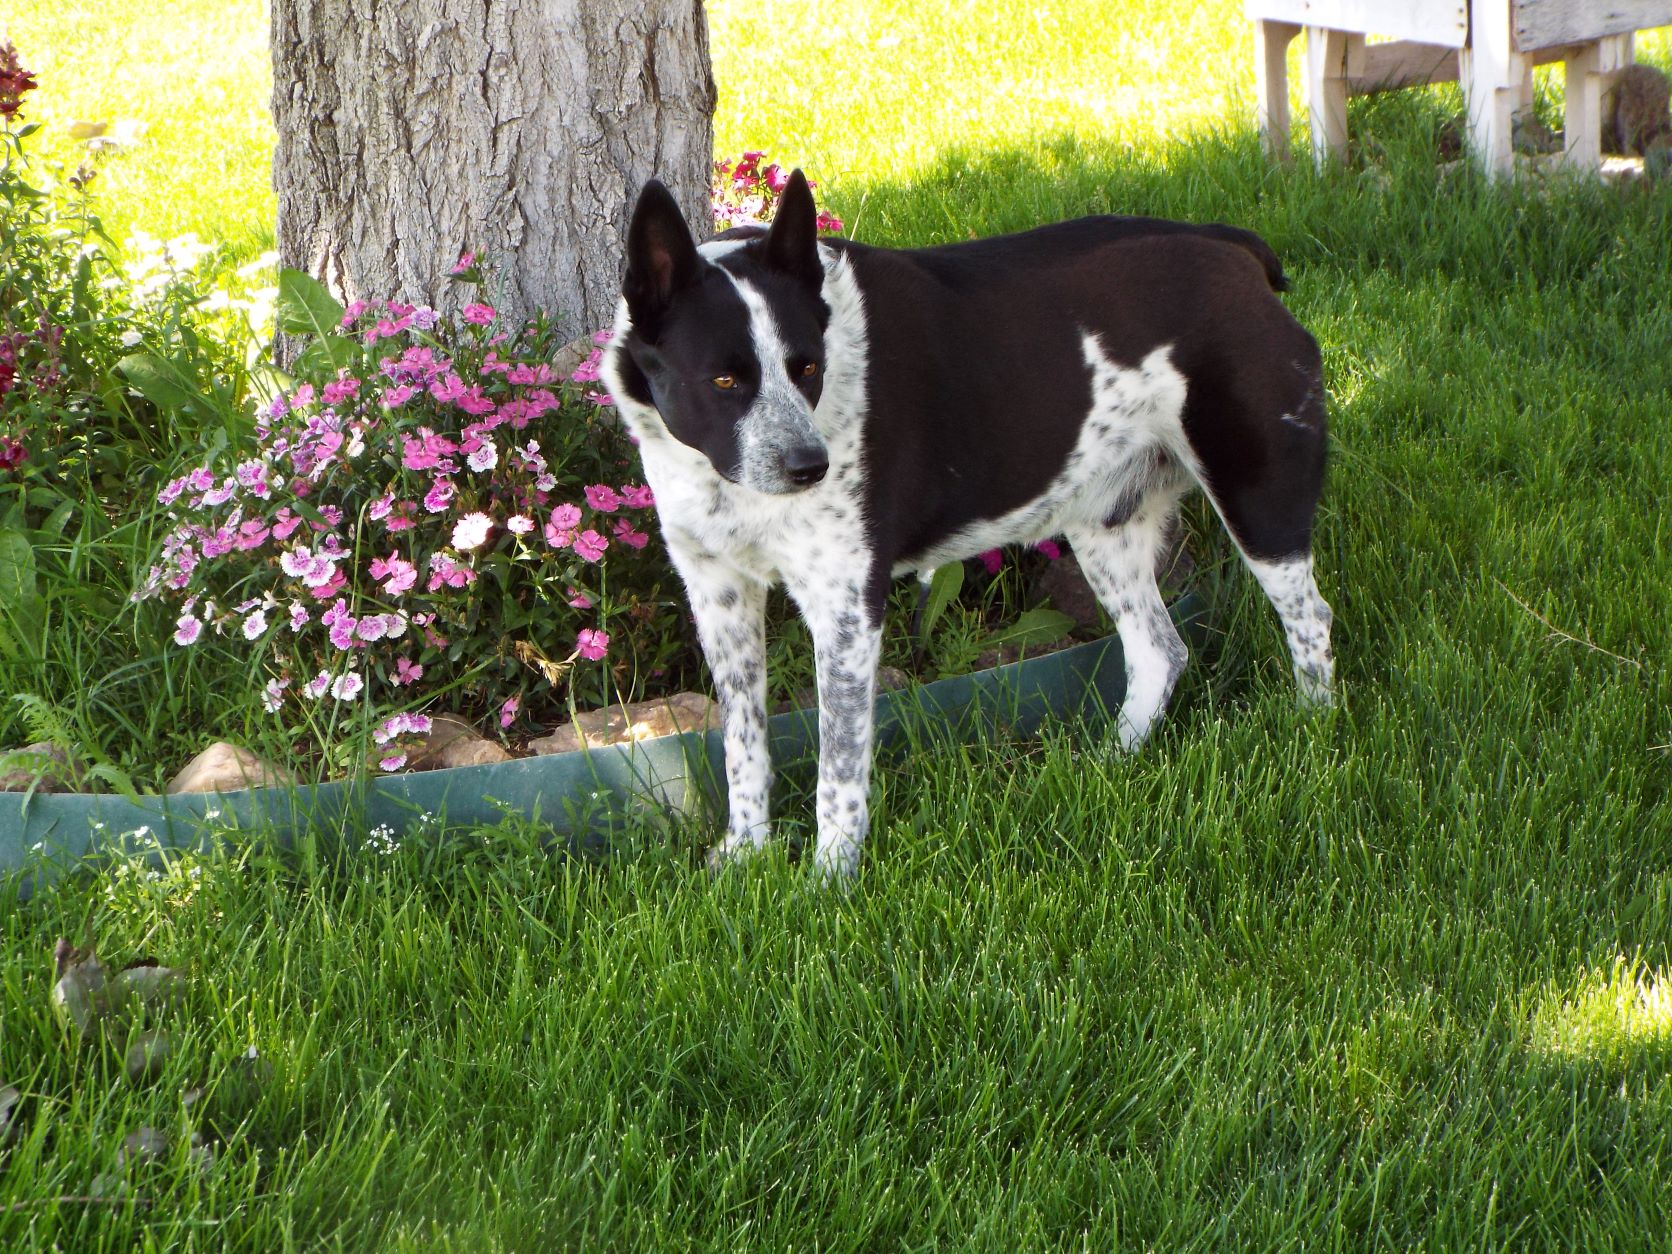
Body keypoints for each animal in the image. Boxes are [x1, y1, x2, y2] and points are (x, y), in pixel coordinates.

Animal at [601, 171, 1333, 879]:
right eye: (723, 380)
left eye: (807, 366)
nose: (812, 467)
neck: (720, 478)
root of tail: (1230, 246)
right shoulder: (718, 594)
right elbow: (743, 742)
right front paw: (745, 851)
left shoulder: (845, 605)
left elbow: (839, 765)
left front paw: (830, 879)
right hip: (1104, 525)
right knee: (1160, 650)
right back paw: (1109, 763)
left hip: (1257, 495)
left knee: (1310, 621)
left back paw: (1315, 735)